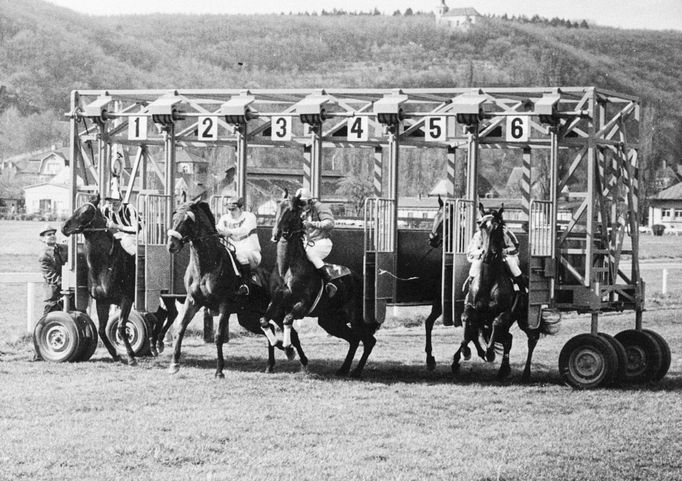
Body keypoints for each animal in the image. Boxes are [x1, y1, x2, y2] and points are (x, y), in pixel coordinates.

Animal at [62, 195, 138, 364]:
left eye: (86, 211)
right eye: (76, 208)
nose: (64, 227)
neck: (105, 264)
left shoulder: (127, 299)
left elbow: (121, 327)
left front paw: (131, 357)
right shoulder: (102, 301)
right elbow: (102, 330)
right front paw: (116, 355)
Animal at [166, 201, 306, 376]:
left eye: (188, 220)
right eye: (174, 218)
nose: (171, 245)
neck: (207, 266)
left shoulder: (224, 305)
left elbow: (219, 336)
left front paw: (219, 370)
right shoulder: (193, 301)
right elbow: (180, 328)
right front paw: (174, 363)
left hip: (277, 311)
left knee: (291, 332)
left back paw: (299, 359)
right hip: (248, 317)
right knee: (270, 329)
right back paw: (271, 364)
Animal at [262, 193, 378, 376]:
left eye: (292, 210)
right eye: (277, 209)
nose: (276, 234)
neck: (287, 269)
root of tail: (361, 280)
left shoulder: (303, 304)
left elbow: (288, 320)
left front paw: (288, 348)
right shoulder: (277, 303)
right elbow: (264, 321)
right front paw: (281, 347)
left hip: (356, 318)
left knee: (368, 341)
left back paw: (356, 371)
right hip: (330, 320)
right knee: (354, 339)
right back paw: (343, 369)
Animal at [448, 202, 540, 378]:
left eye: (498, 228)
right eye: (480, 224)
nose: (488, 255)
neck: (488, 282)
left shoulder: (505, 312)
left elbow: (496, 323)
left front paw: (489, 353)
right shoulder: (472, 308)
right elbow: (466, 321)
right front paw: (464, 352)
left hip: (525, 318)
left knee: (532, 338)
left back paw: (525, 373)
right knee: (508, 339)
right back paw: (504, 369)